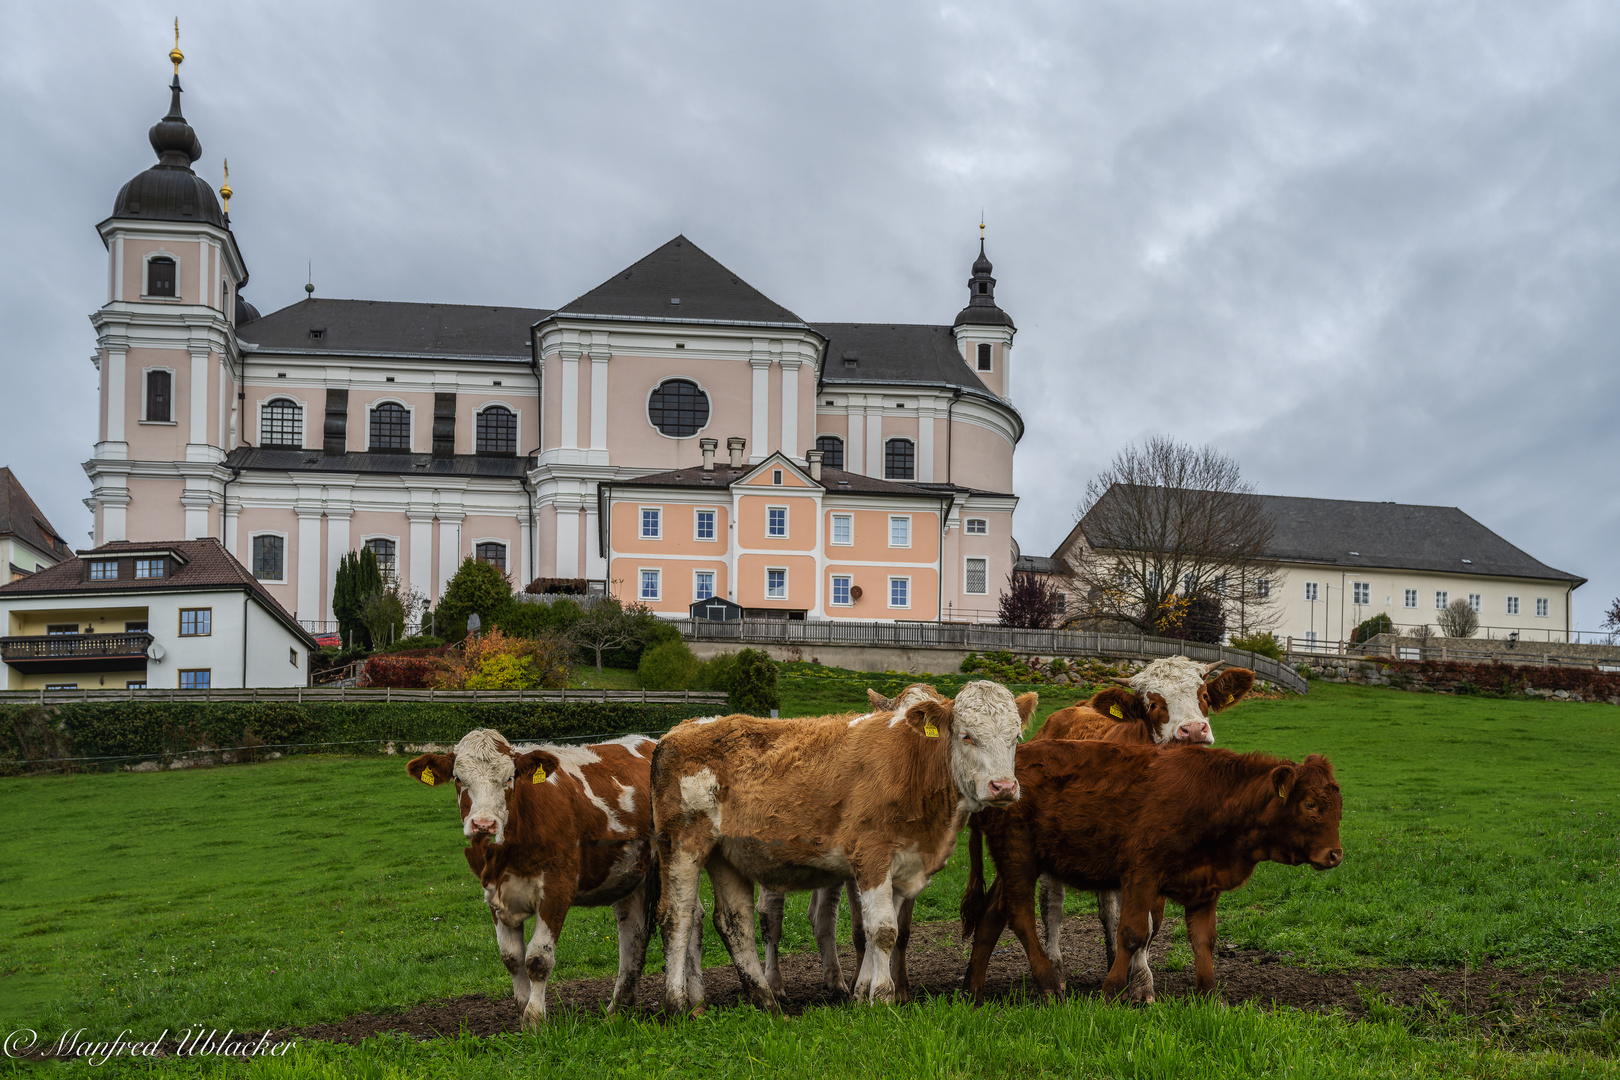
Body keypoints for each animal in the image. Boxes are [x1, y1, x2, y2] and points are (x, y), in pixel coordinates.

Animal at [408, 731, 699, 1029]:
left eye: (509, 778)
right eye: (458, 778)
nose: (484, 824)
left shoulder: (558, 889)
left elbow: (538, 959)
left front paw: (536, 1019)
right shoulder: (494, 895)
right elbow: (512, 958)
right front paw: (523, 1013)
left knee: (684, 918)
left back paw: (688, 1002)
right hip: (629, 876)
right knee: (636, 934)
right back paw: (623, 1009)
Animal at [651, 683, 1030, 1016]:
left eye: (1015, 737)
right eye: (967, 735)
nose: (1003, 787)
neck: (913, 765)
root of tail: (679, 730)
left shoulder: (901, 863)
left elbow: (882, 930)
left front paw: (862, 994)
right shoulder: (871, 855)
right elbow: (881, 930)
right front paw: (882, 997)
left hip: (727, 854)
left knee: (734, 923)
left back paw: (765, 1001)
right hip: (683, 842)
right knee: (678, 917)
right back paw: (679, 1005)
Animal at [959, 744, 1341, 1003]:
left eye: (1338, 807)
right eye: (1309, 804)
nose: (1335, 854)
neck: (1214, 798)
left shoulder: (1205, 886)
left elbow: (1204, 940)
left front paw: (1210, 995)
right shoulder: (1142, 875)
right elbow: (1131, 933)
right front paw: (1112, 991)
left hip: (1017, 861)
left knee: (991, 915)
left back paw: (972, 991)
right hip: (1018, 855)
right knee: (1020, 916)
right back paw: (1049, 984)